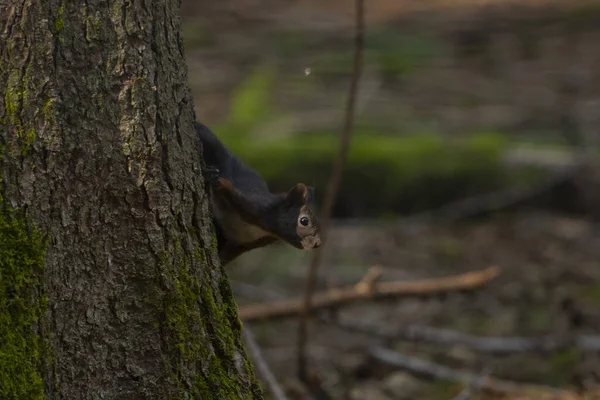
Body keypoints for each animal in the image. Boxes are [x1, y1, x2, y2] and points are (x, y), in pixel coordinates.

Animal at [195, 122, 322, 266]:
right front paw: (215, 179)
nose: (318, 244)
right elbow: (227, 189)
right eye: (304, 221)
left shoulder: (242, 244)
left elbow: (227, 255)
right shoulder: (251, 203)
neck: (264, 230)